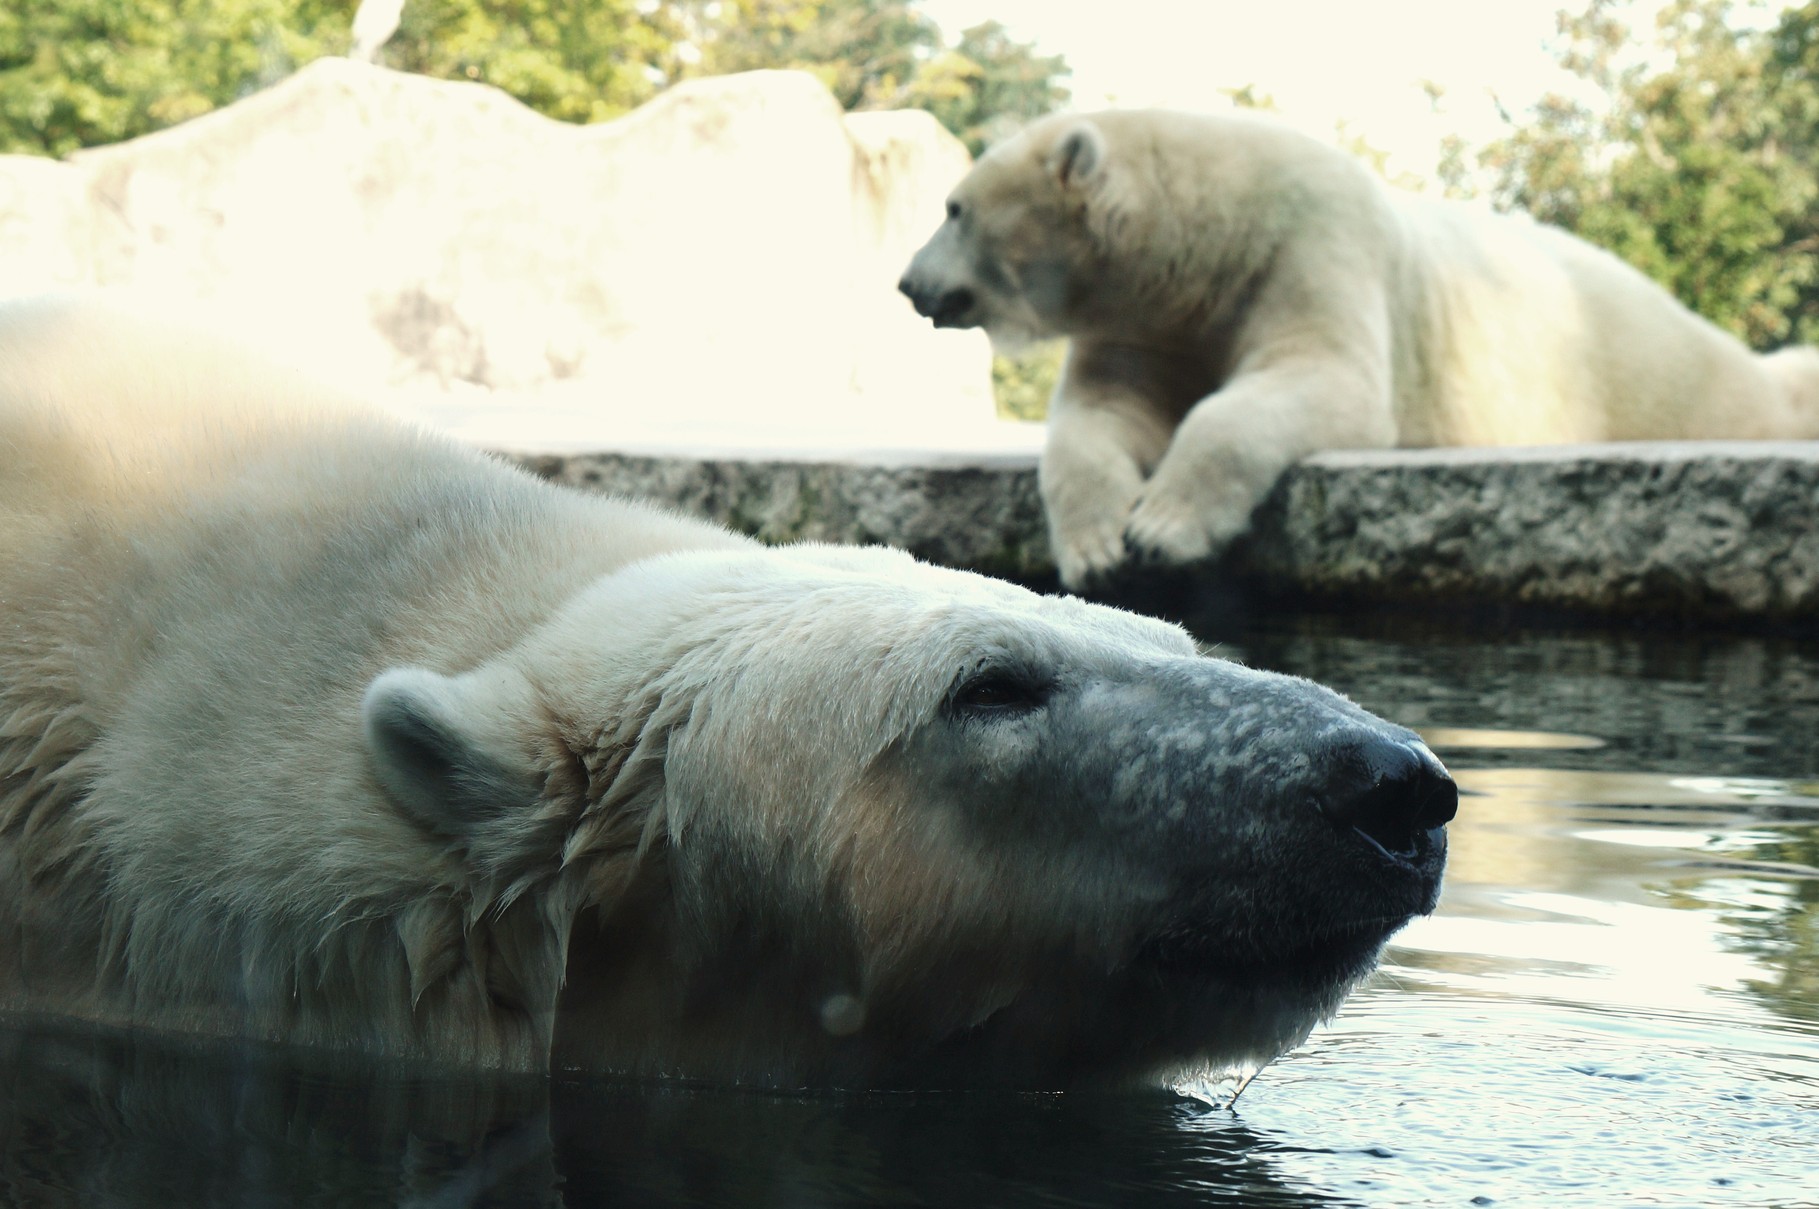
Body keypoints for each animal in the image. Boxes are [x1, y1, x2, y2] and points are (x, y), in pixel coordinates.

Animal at [902, 108, 1819, 589]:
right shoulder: (1144, 320)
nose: (909, 284)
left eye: (953, 208)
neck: (1207, 241)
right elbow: (1101, 412)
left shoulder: (1309, 243)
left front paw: (1163, 528)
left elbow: (1320, 378)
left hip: (1638, 364)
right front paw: (1096, 549)